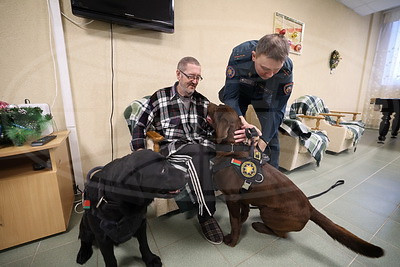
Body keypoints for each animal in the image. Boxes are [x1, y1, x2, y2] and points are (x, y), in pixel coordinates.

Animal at [208, 103, 382, 258]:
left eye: (217, 108)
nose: (207, 103)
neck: (231, 150)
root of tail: (310, 207)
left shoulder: (232, 198)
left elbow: (234, 222)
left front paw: (232, 240)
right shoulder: (243, 197)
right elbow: (243, 213)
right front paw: (242, 220)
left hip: (268, 212)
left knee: (282, 234)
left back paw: (259, 226)